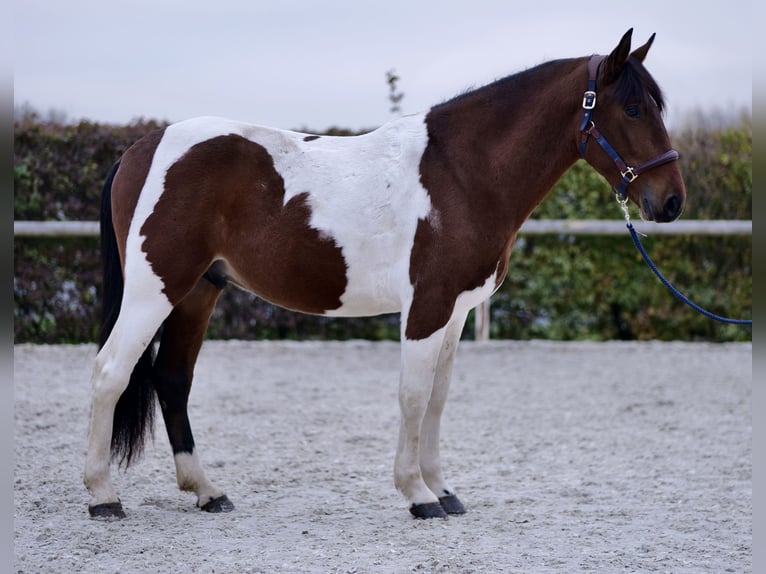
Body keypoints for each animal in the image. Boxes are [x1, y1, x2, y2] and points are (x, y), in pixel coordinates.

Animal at [85, 28, 688, 520]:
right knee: (111, 371)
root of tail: (141, 149)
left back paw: (207, 491)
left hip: (197, 293)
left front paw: (443, 489)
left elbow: (438, 398)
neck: (461, 175)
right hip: (155, 290)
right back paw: (103, 497)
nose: (671, 201)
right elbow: (412, 396)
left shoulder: (456, 313)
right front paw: (417, 496)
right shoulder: (427, 307)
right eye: (633, 109)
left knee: (172, 379)